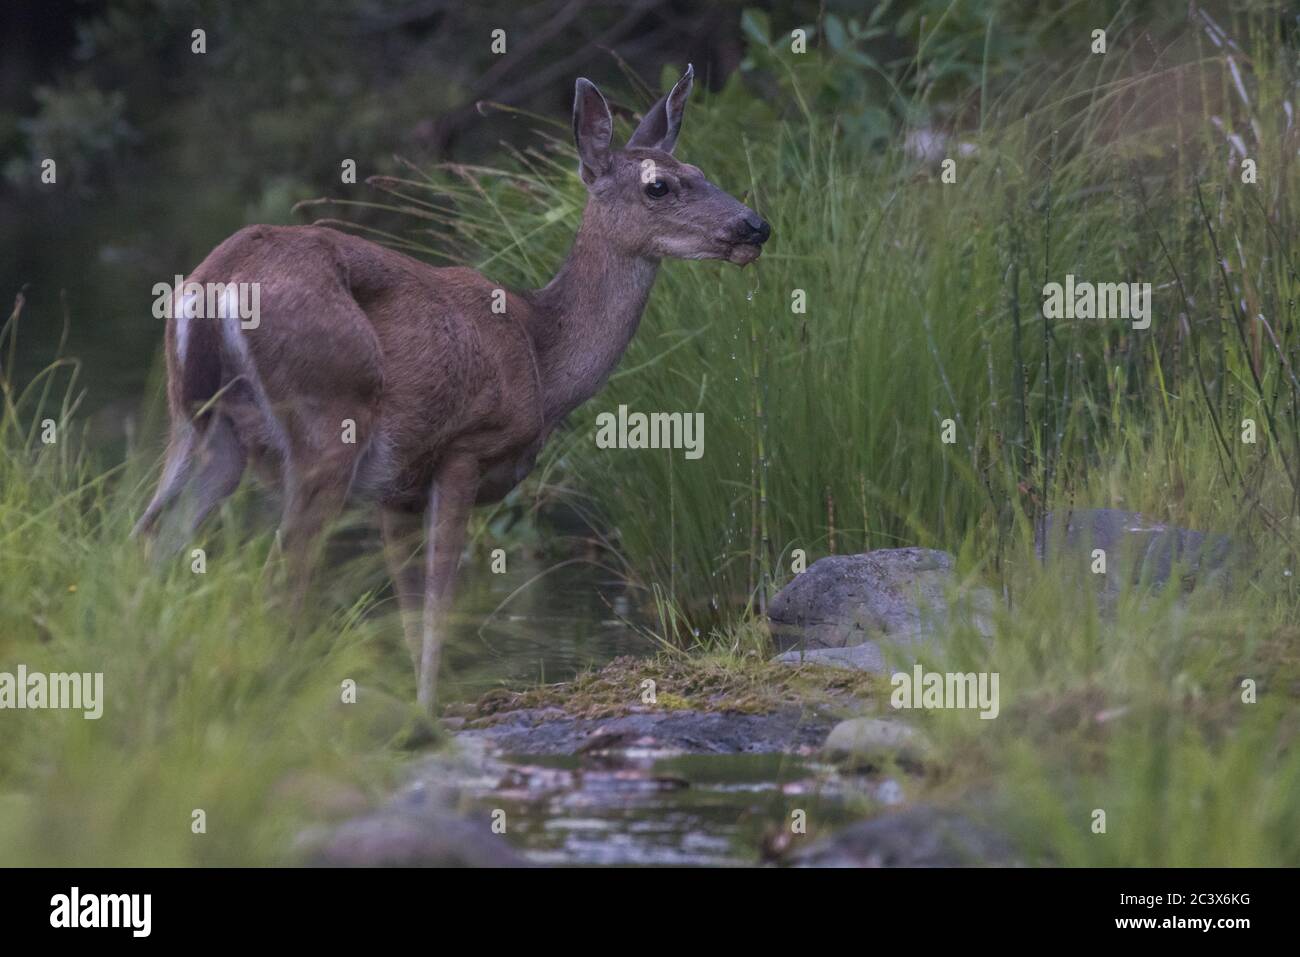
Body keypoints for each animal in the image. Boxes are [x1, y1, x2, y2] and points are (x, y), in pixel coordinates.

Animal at [135, 67, 769, 712]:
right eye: (659, 186)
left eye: (700, 170)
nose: (755, 225)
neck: (543, 357)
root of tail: (217, 280)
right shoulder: (465, 446)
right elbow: (440, 601)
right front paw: (427, 709)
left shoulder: (397, 489)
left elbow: (411, 608)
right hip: (327, 417)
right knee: (281, 568)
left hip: (200, 425)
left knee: (152, 536)